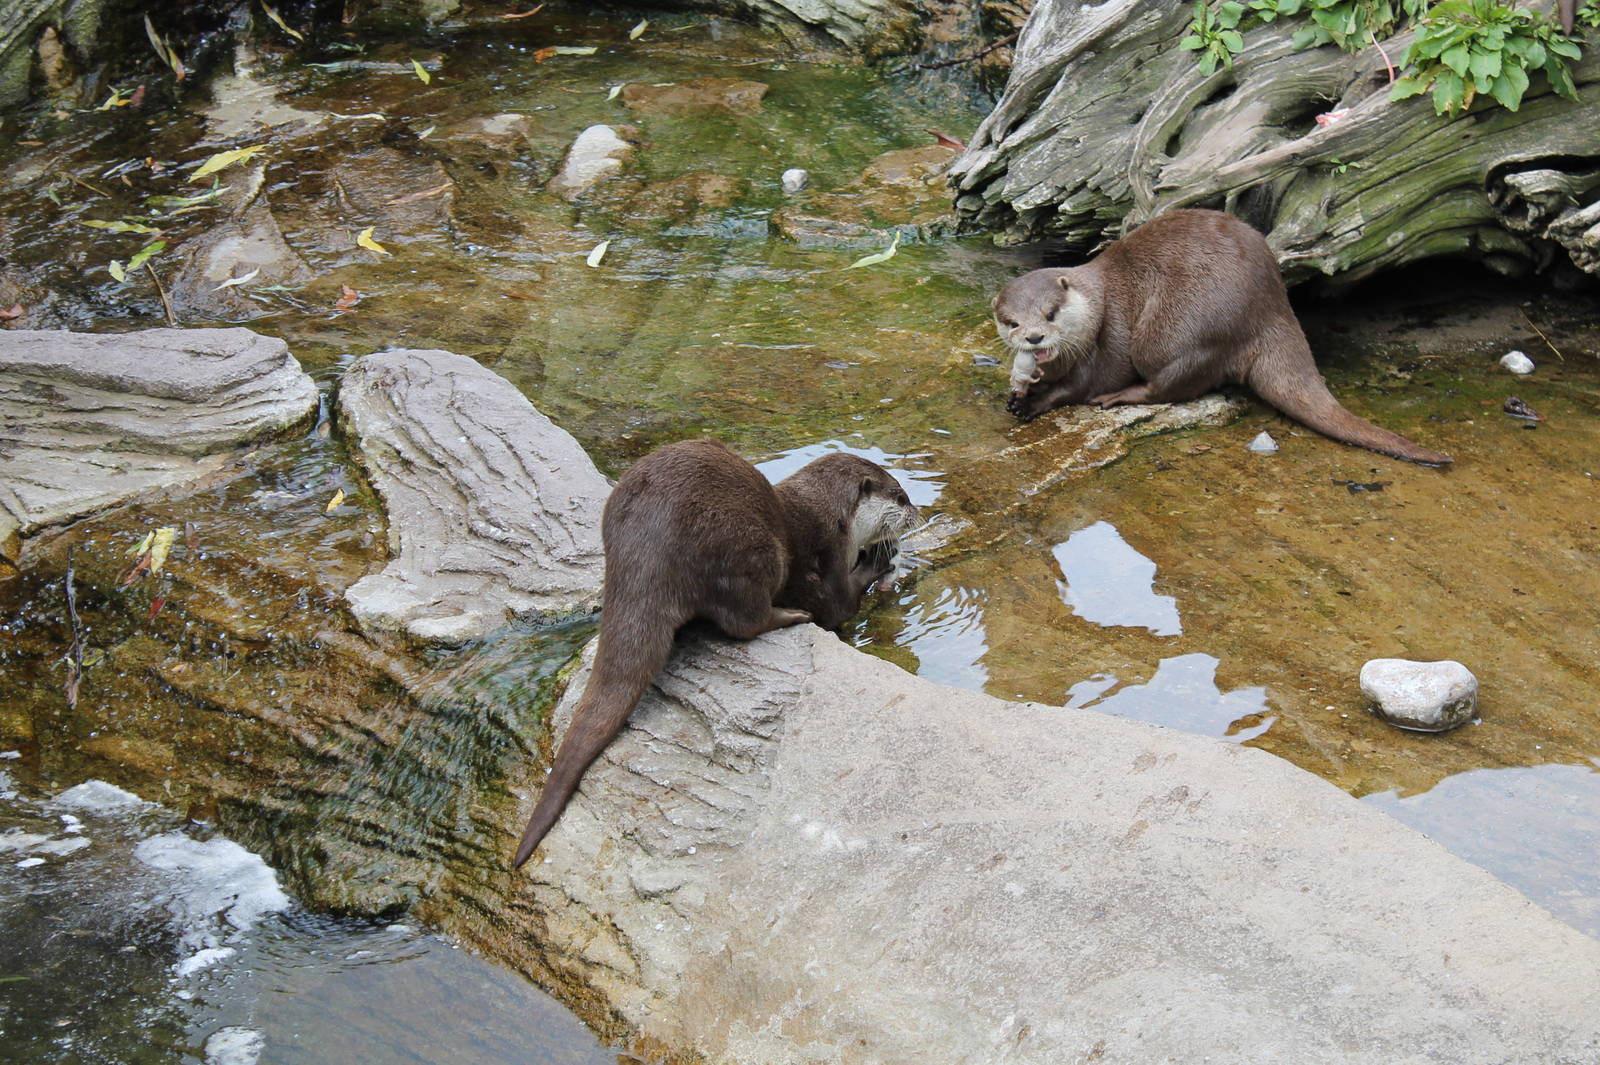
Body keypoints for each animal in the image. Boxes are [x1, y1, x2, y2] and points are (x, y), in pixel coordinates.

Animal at [512, 440, 918, 868]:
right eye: (900, 496)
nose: (917, 511)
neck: (835, 518)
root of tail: (643, 553)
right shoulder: (828, 556)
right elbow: (839, 607)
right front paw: (878, 561)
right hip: (753, 550)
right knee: (743, 620)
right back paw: (790, 615)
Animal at [994, 209, 1452, 467]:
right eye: (1012, 322)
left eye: (1051, 314)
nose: (1034, 337)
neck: (1095, 304)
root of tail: (1272, 308)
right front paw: (1019, 392)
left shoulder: (1110, 338)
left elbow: (1084, 384)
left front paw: (1038, 402)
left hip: (1183, 329)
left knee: (1171, 383)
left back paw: (1122, 397)